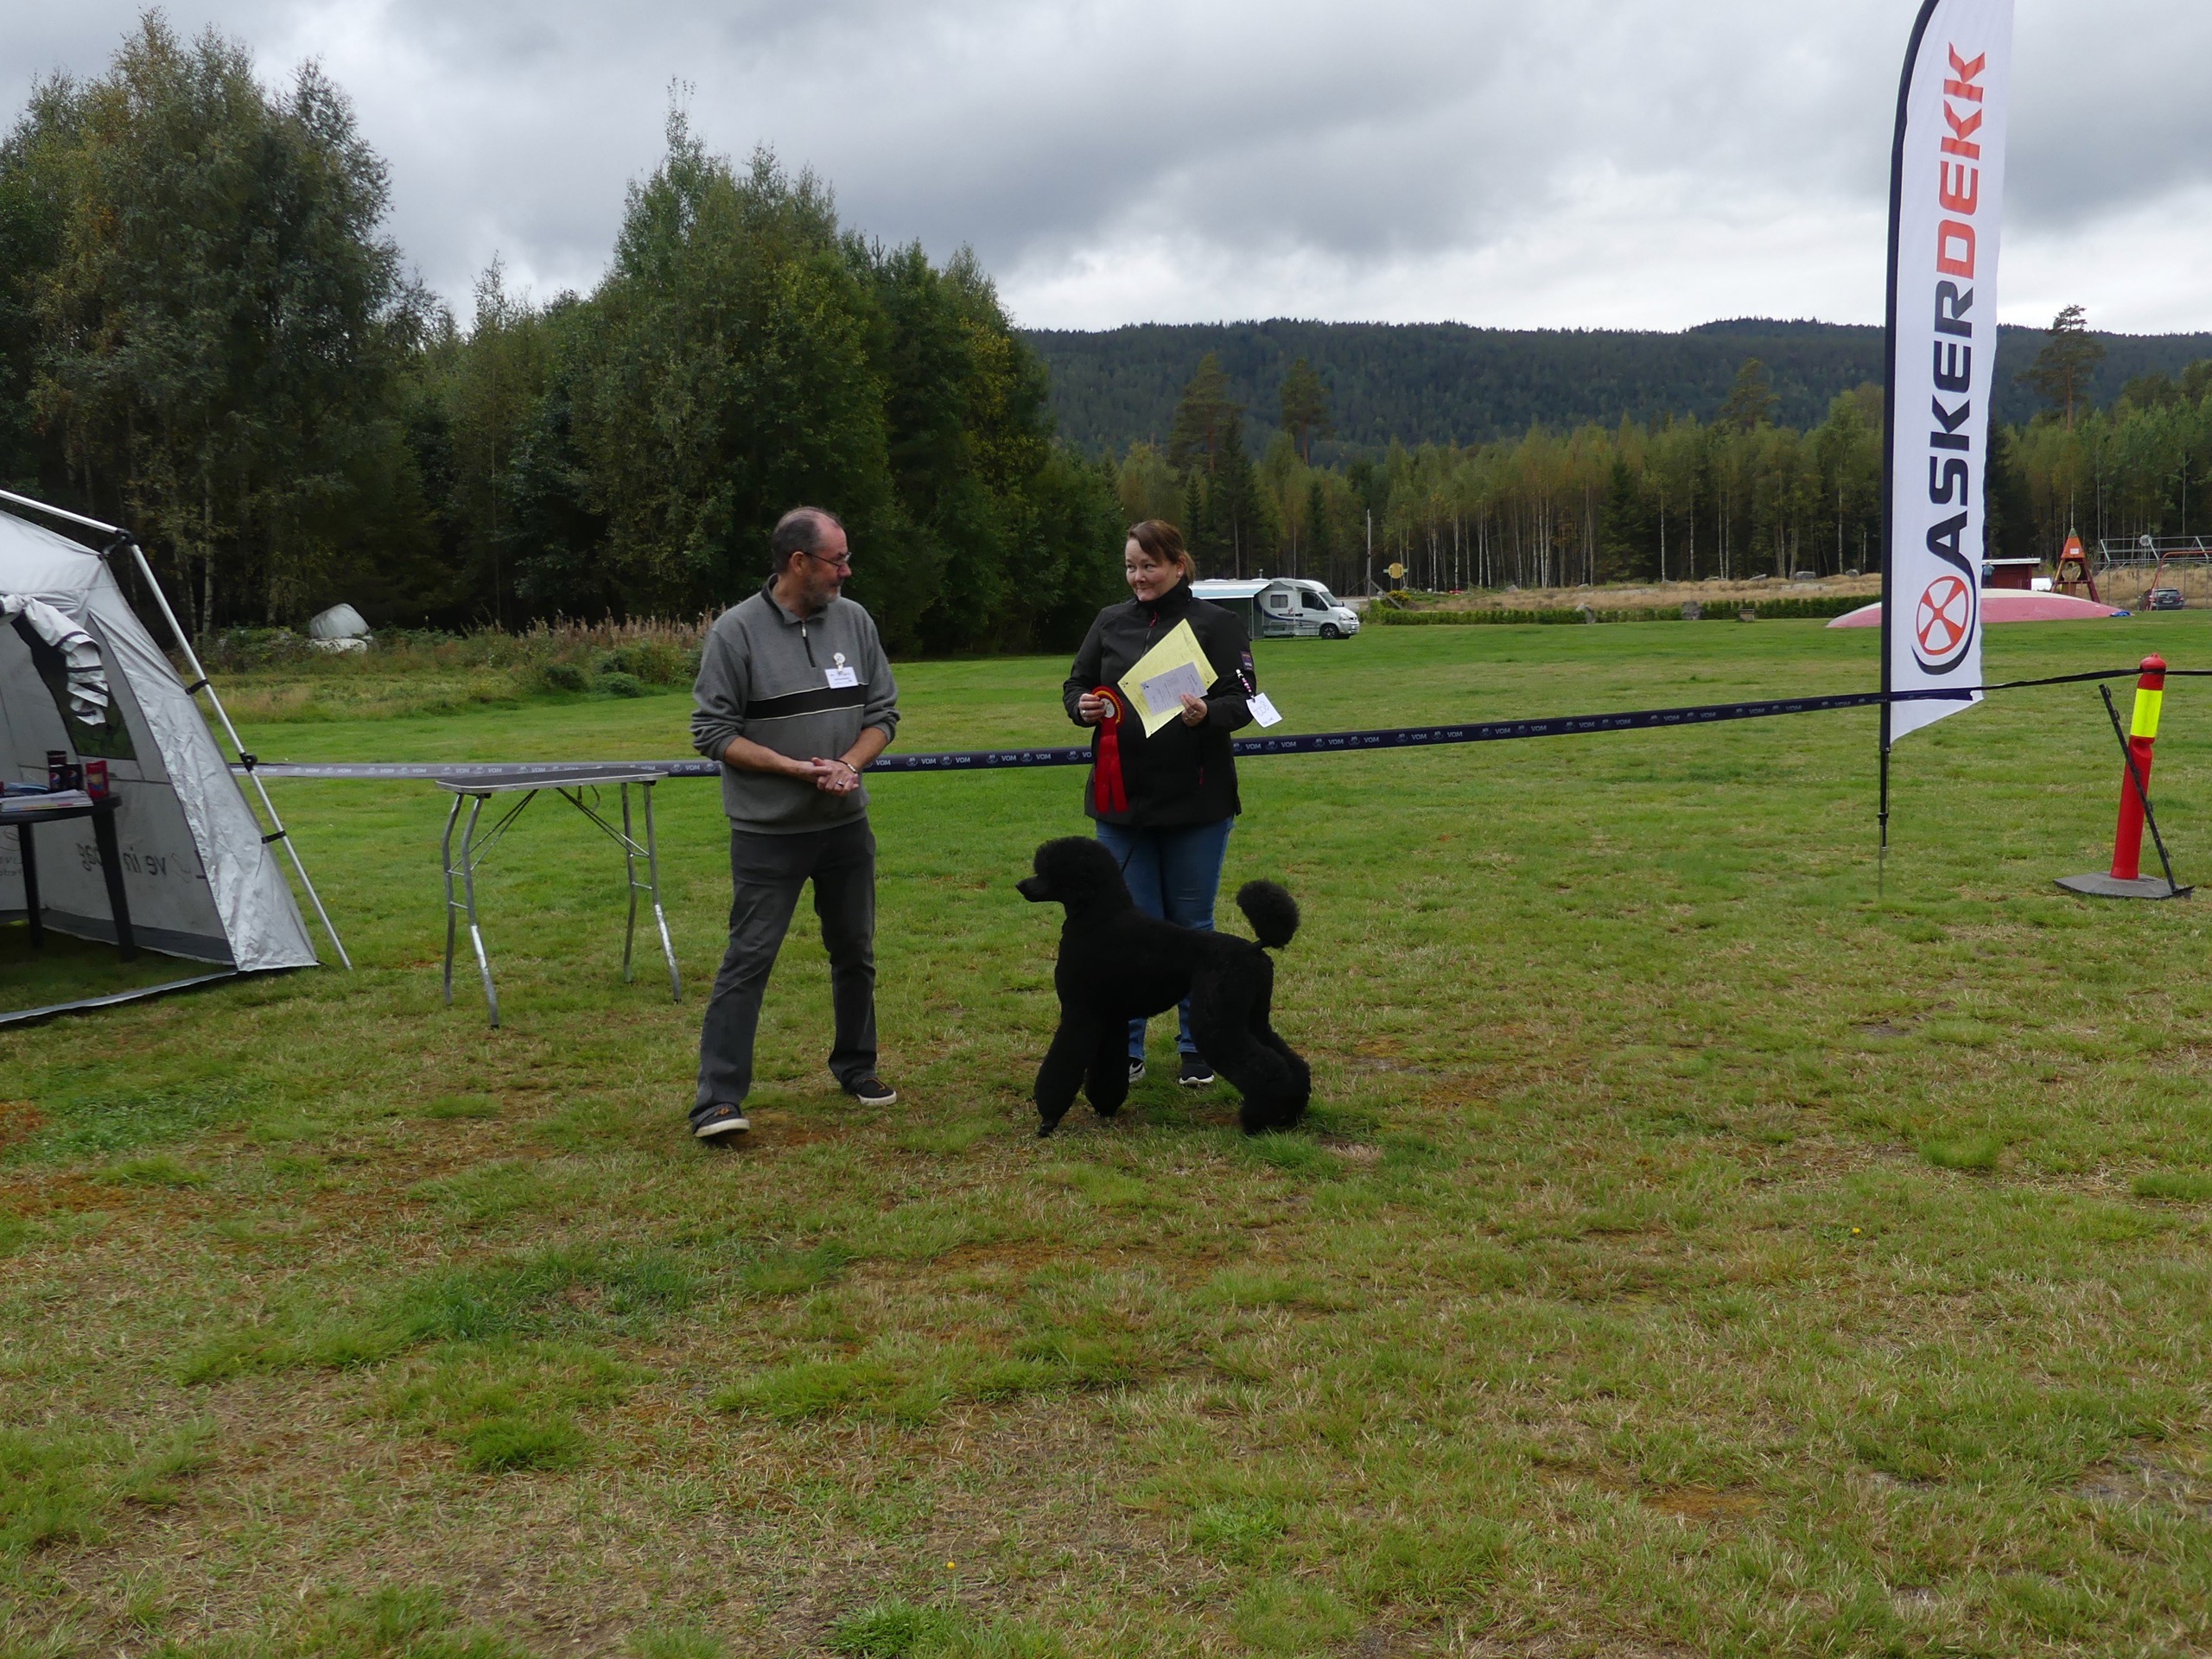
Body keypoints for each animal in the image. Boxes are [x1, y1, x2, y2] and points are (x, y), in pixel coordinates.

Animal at [1016, 836, 1311, 1137]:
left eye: (1049, 871)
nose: (1021, 885)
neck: (1098, 917)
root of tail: (1256, 948)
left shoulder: (1080, 1011)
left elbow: (1063, 1063)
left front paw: (1048, 1120)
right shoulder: (1110, 1015)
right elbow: (1106, 1067)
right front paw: (1105, 1106)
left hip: (1217, 1019)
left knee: (1266, 1067)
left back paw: (1257, 1119)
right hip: (1252, 1016)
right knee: (1290, 1060)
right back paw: (1289, 1113)